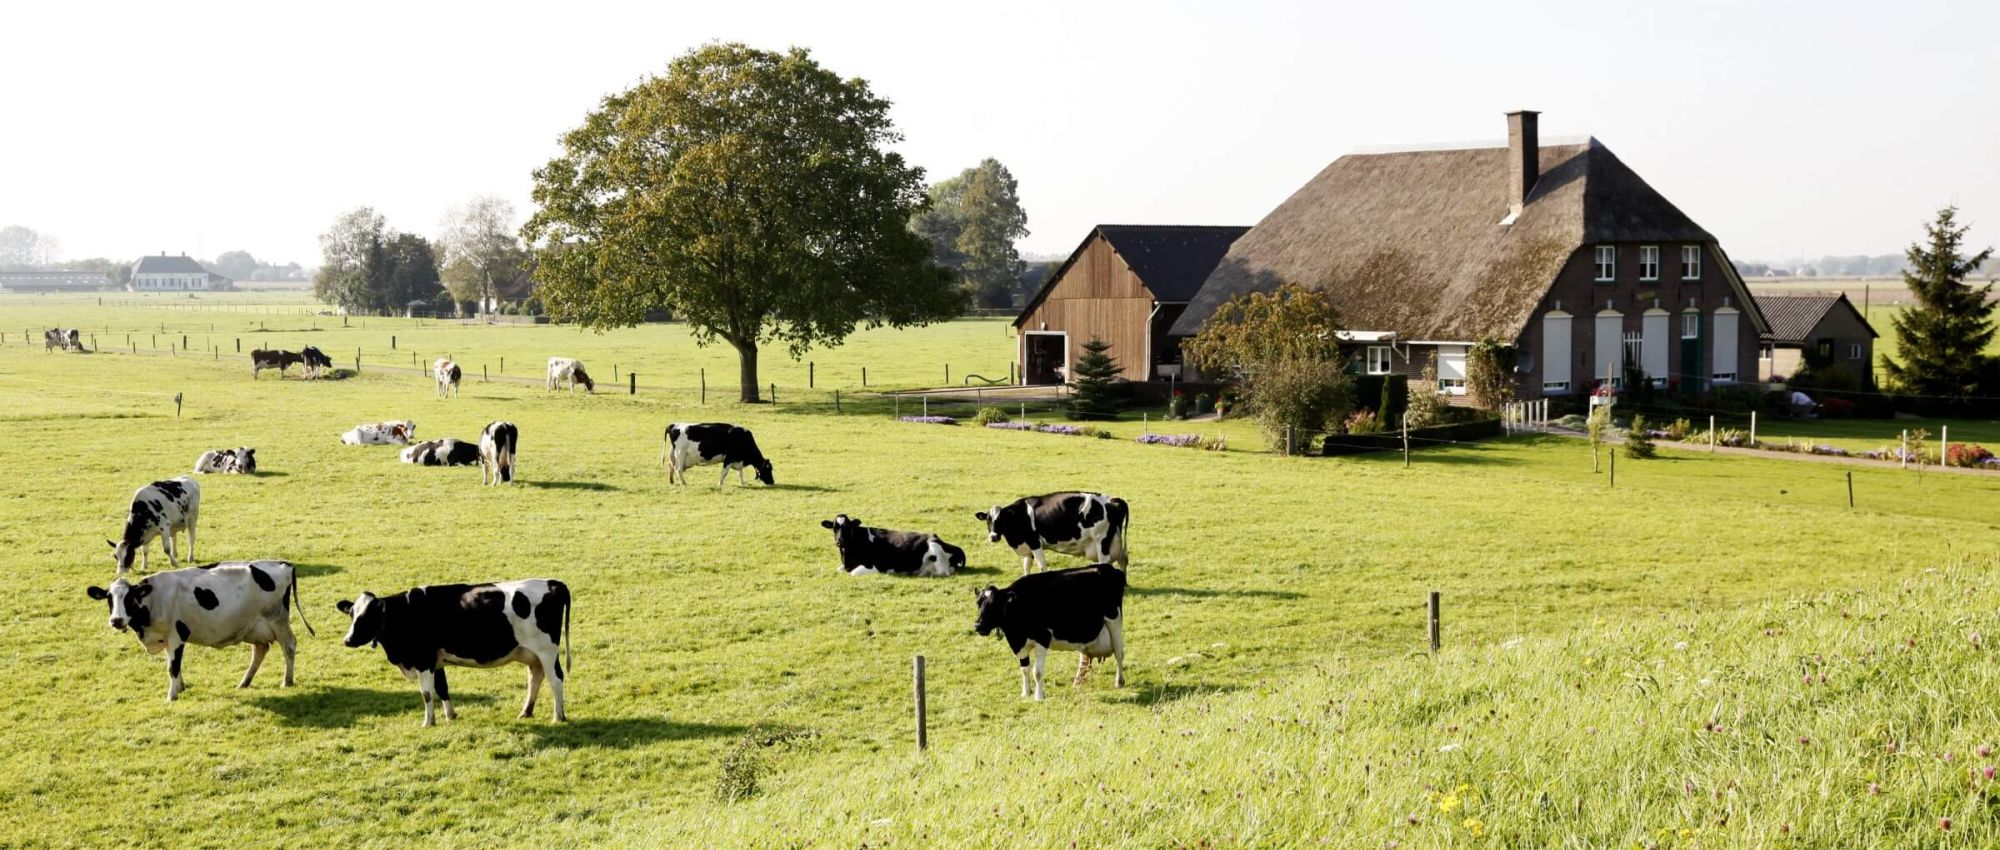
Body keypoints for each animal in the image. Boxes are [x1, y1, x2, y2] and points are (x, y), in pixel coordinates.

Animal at [85, 556, 312, 704]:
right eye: (109, 598)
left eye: (129, 598)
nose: (116, 620)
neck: (153, 599)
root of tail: (282, 563)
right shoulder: (166, 639)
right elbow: (172, 665)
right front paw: (180, 687)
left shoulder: (177, 636)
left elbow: (173, 666)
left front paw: (172, 696)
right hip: (254, 626)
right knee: (261, 649)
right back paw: (244, 682)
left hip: (277, 619)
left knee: (288, 646)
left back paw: (286, 681)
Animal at [336, 580, 572, 724]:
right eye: (352, 614)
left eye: (368, 616)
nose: (348, 640)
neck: (406, 613)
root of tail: (553, 583)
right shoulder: (435, 661)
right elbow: (442, 688)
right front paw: (450, 716)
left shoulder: (423, 660)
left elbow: (426, 693)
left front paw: (427, 722)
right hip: (533, 655)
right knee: (535, 678)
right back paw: (526, 711)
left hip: (547, 652)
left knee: (556, 680)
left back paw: (558, 716)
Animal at [816, 510, 964, 576]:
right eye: (834, 527)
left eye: (848, 527)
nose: (839, 541)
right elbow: (839, 569)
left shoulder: (871, 567)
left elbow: (852, 573)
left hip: (936, 552)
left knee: (943, 572)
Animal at [976, 490, 1136, 576]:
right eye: (988, 520)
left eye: (1001, 520)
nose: (993, 537)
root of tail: (1113, 499)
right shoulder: (1027, 546)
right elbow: (1026, 566)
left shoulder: (1035, 542)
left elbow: (1041, 565)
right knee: (1122, 561)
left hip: (1101, 541)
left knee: (1105, 561)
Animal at [980, 564, 1136, 696]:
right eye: (978, 604)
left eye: (994, 604)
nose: (978, 625)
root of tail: (1109, 568)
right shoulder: (1018, 644)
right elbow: (1024, 670)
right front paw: (1025, 693)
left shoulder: (1043, 638)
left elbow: (1037, 672)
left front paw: (1039, 697)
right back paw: (1077, 681)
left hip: (1114, 621)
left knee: (1119, 653)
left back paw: (1119, 681)